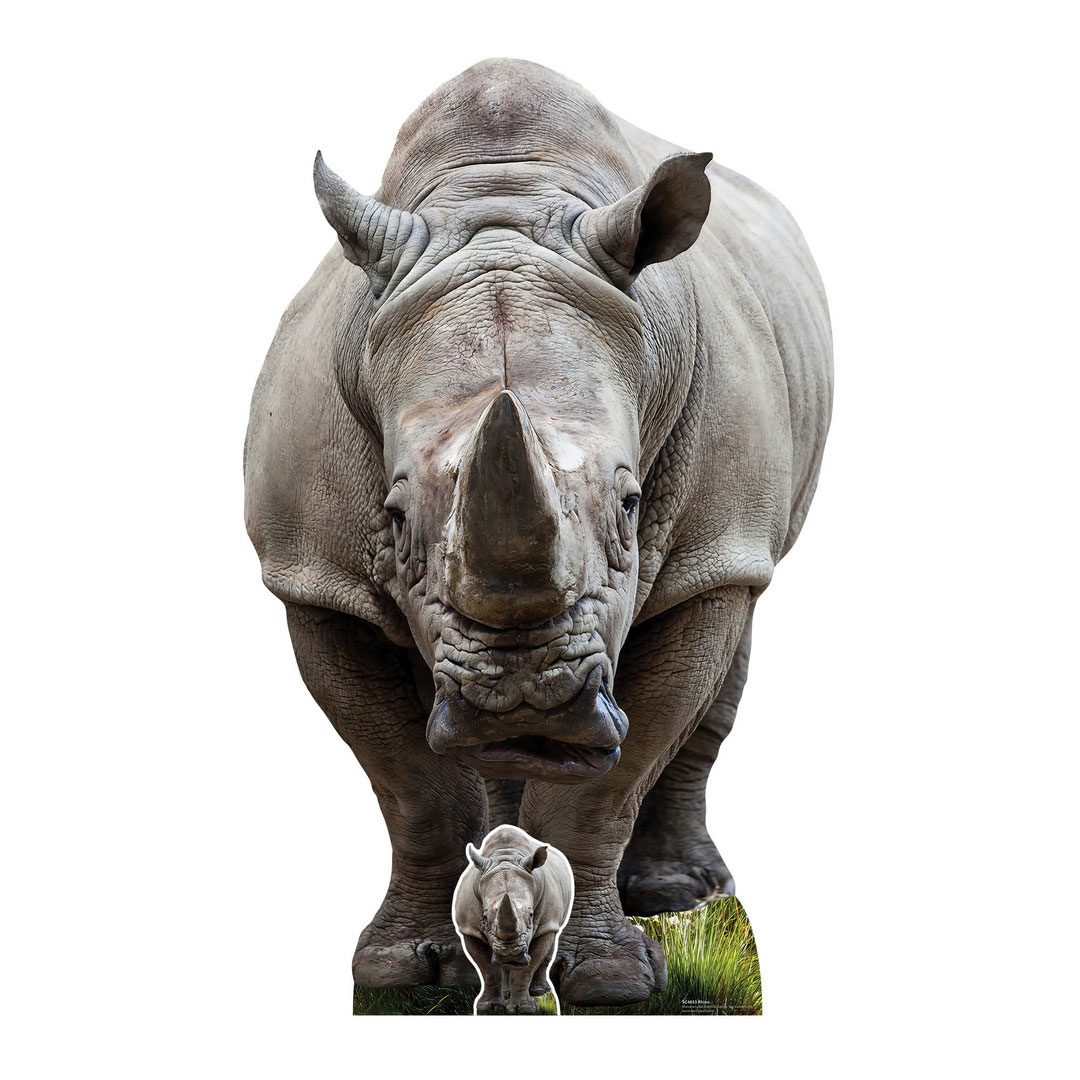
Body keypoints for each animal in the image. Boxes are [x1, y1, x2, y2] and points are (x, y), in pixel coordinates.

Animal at [453, 825, 574, 1014]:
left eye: (531, 915)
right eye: (484, 917)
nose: (510, 954)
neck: (506, 857)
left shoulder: (546, 923)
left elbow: (527, 970)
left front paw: (523, 1009)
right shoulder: (469, 929)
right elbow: (488, 970)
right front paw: (489, 1007)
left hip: (553, 919)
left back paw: (539, 991)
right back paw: (506, 992)